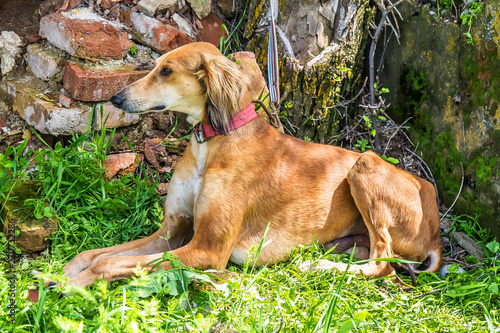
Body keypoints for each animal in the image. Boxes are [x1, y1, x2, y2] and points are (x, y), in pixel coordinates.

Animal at [58, 41, 442, 286]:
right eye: (154, 67)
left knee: (383, 264)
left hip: (365, 164)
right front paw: (62, 272)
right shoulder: (172, 231)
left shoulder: (207, 250)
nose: (115, 98)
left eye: (166, 71)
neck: (214, 142)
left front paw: (75, 284)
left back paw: (317, 266)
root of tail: (437, 231)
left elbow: (109, 262)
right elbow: (95, 253)